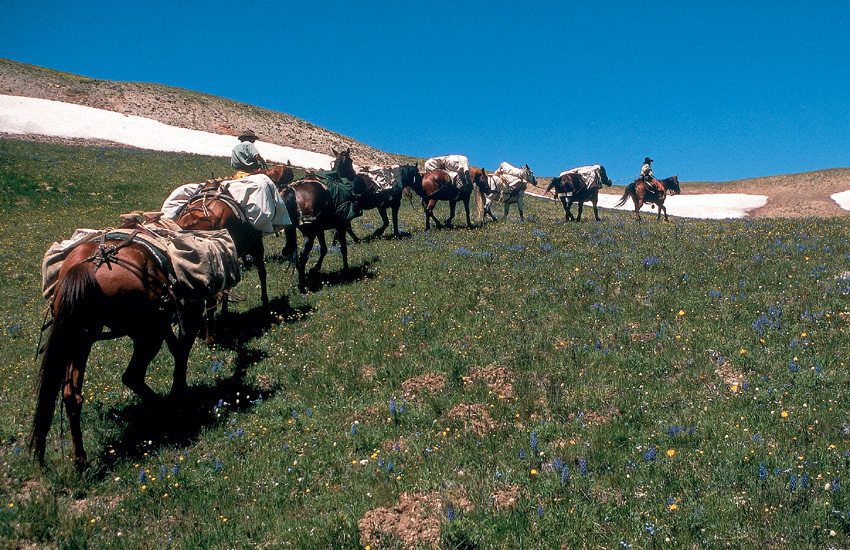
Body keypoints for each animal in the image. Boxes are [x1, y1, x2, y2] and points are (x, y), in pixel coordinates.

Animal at [29, 237, 205, 470]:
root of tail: (86, 267)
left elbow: (178, 348)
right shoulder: (186, 313)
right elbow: (181, 350)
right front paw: (179, 392)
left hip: (80, 339)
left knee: (71, 395)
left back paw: (80, 459)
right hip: (147, 334)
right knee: (133, 376)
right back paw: (166, 408)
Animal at [280, 147, 372, 294]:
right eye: (351, 161)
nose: (353, 174)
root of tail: (292, 193)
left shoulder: (320, 230)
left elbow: (323, 249)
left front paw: (315, 269)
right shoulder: (341, 225)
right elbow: (343, 248)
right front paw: (346, 270)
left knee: (292, 253)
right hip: (310, 234)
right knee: (303, 256)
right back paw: (303, 286)